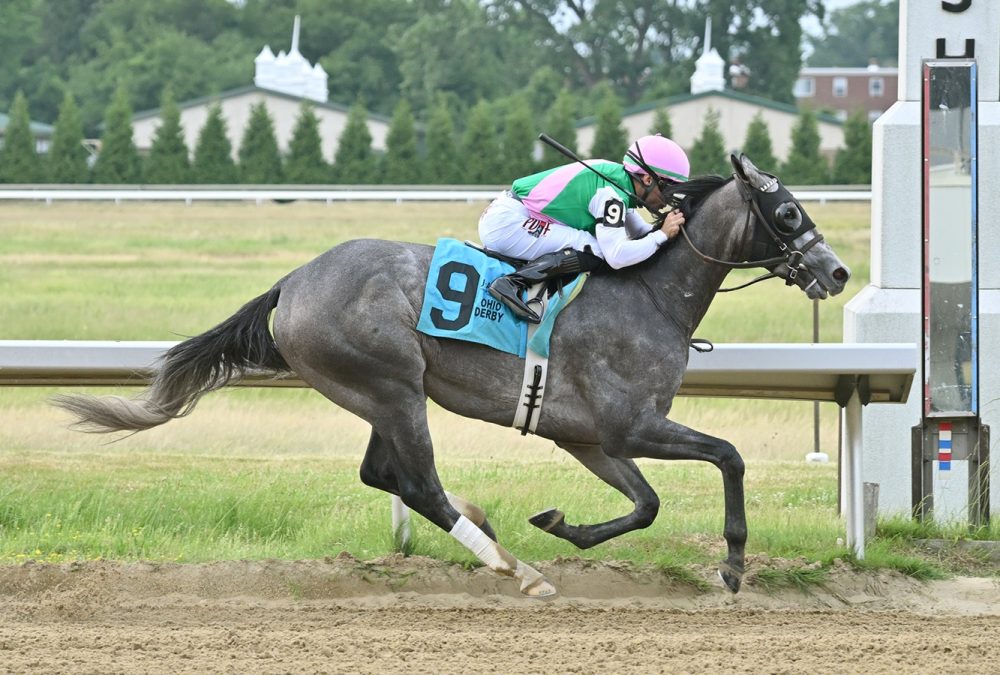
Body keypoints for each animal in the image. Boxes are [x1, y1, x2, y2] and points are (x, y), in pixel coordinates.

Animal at [58, 156, 848, 600]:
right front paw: (734, 564)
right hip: (392, 385)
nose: (837, 272)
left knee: (386, 475)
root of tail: (293, 281)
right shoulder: (632, 424)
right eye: (787, 211)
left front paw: (559, 523)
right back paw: (515, 568)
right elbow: (728, 457)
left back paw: (495, 531)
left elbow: (646, 504)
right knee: (418, 484)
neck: (650, 295)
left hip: (376, 394)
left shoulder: (589, 437)